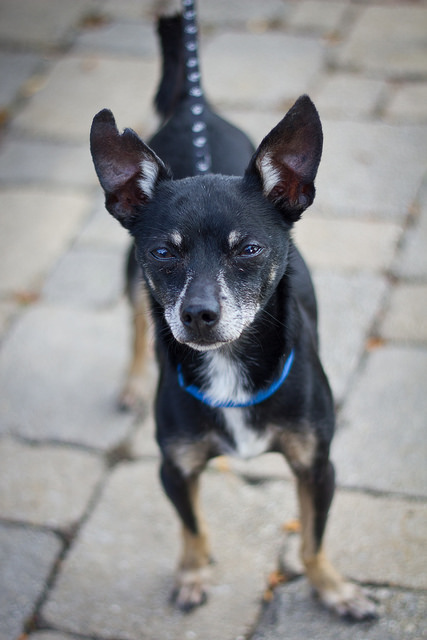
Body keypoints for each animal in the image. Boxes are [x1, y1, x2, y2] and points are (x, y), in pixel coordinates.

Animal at [90, 4, 376, 621]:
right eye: (164, 253)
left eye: (248, 249)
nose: (198, 313)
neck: (229, 362)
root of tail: (194, 108)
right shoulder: (174, 467)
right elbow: (194, 528)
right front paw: (194, 574)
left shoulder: (318, 466)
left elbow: (312, 538)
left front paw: (333, 589)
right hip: (127, 280)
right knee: (134, 322)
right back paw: (132, 380)